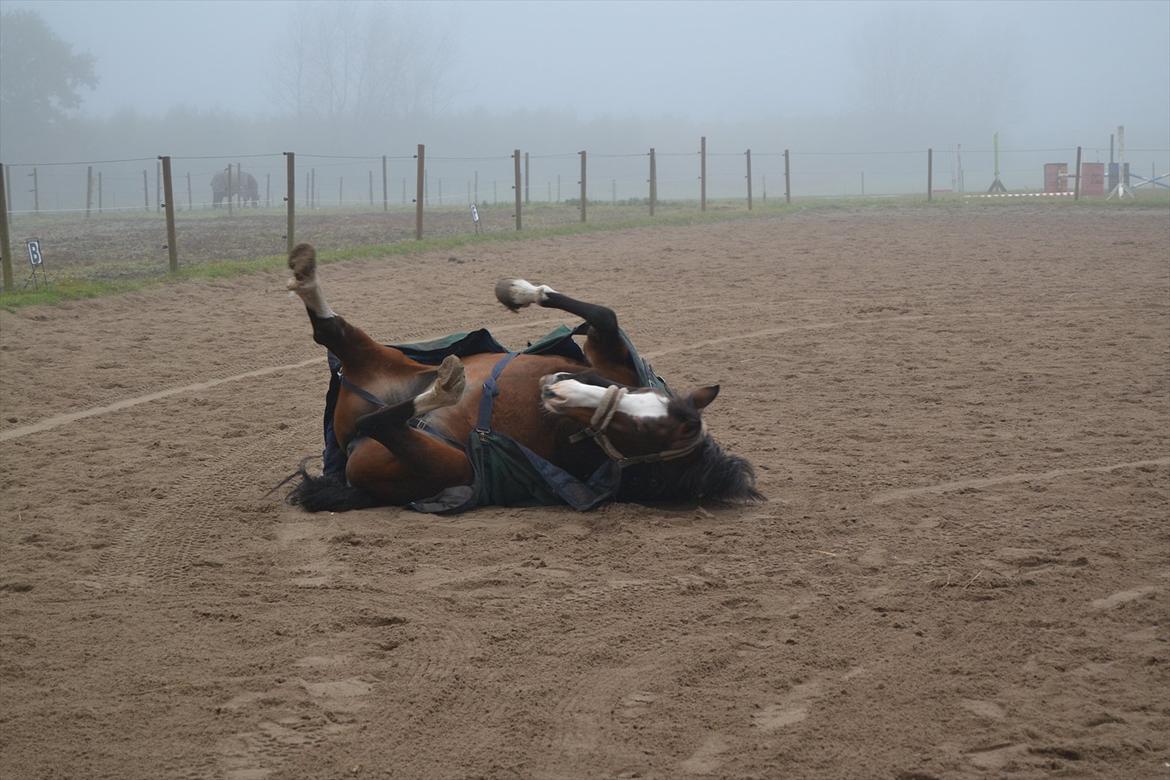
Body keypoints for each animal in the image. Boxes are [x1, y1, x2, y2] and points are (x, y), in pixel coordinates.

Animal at [281, 244, 758, 512]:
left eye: (642, 432)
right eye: (634, 396)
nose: (557, 386)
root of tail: (346, 456)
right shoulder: (609, 356)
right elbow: (604, 314)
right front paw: (518, 290)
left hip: (441, 462)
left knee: (377, 419)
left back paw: (445, 387)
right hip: (380, 360)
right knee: (331, 333)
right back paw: (305, 271)